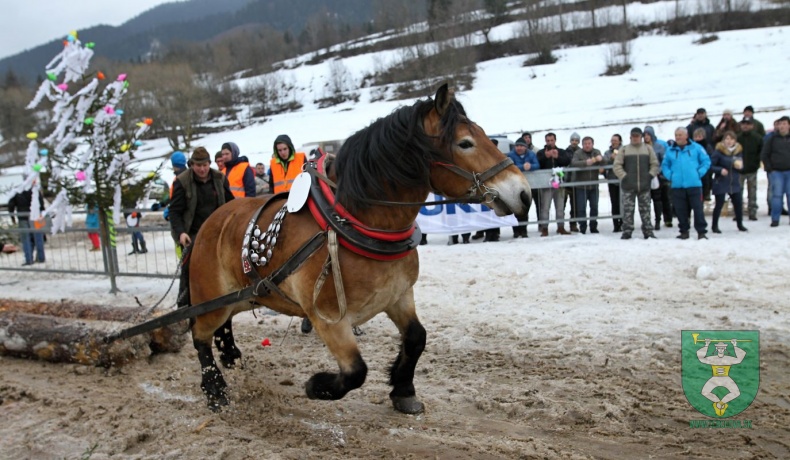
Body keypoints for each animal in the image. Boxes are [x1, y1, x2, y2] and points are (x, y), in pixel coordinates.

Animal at [187, 82, 532, 414]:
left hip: (243, 298)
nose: (524, 193)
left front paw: (403, 391)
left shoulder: (398, 295)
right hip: (211, 299)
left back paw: (230, 354)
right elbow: (356, 371)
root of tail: (211, 220)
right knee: (199, 334)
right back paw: (215, 390)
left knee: (222, 326)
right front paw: (317, 386)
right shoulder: (328, 318)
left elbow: (416, 338)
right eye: (465, 143)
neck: (355, 222)